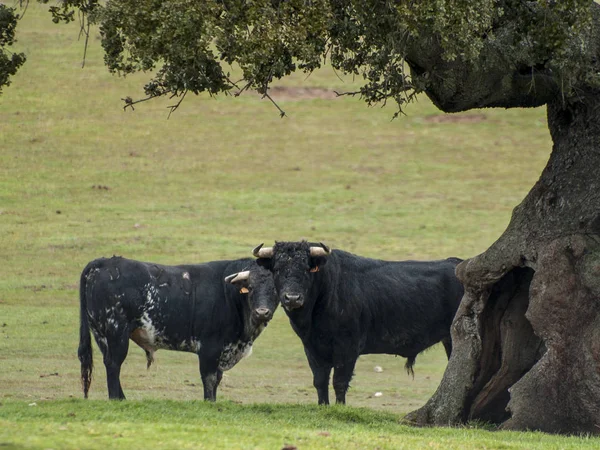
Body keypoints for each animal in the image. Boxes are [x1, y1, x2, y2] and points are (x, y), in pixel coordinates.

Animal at [77, 256, 276, 400]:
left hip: (101, 334)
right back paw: (116, 399)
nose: (262, 312)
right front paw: (209, 403)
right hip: (116, 332)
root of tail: (103, 262)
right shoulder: (209, 348)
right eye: (250, 287)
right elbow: (210, 379)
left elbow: (216, 379)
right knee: (114, 364)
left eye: (275, 289)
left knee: (109, 362)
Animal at [253, 241, 464, 406]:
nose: (292, 298)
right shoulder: (312, 348)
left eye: (306, 269)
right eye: (277, 269)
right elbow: (320, 381)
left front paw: (339, 408)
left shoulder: (347, 347)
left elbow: (340, 381)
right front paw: (323, 406)